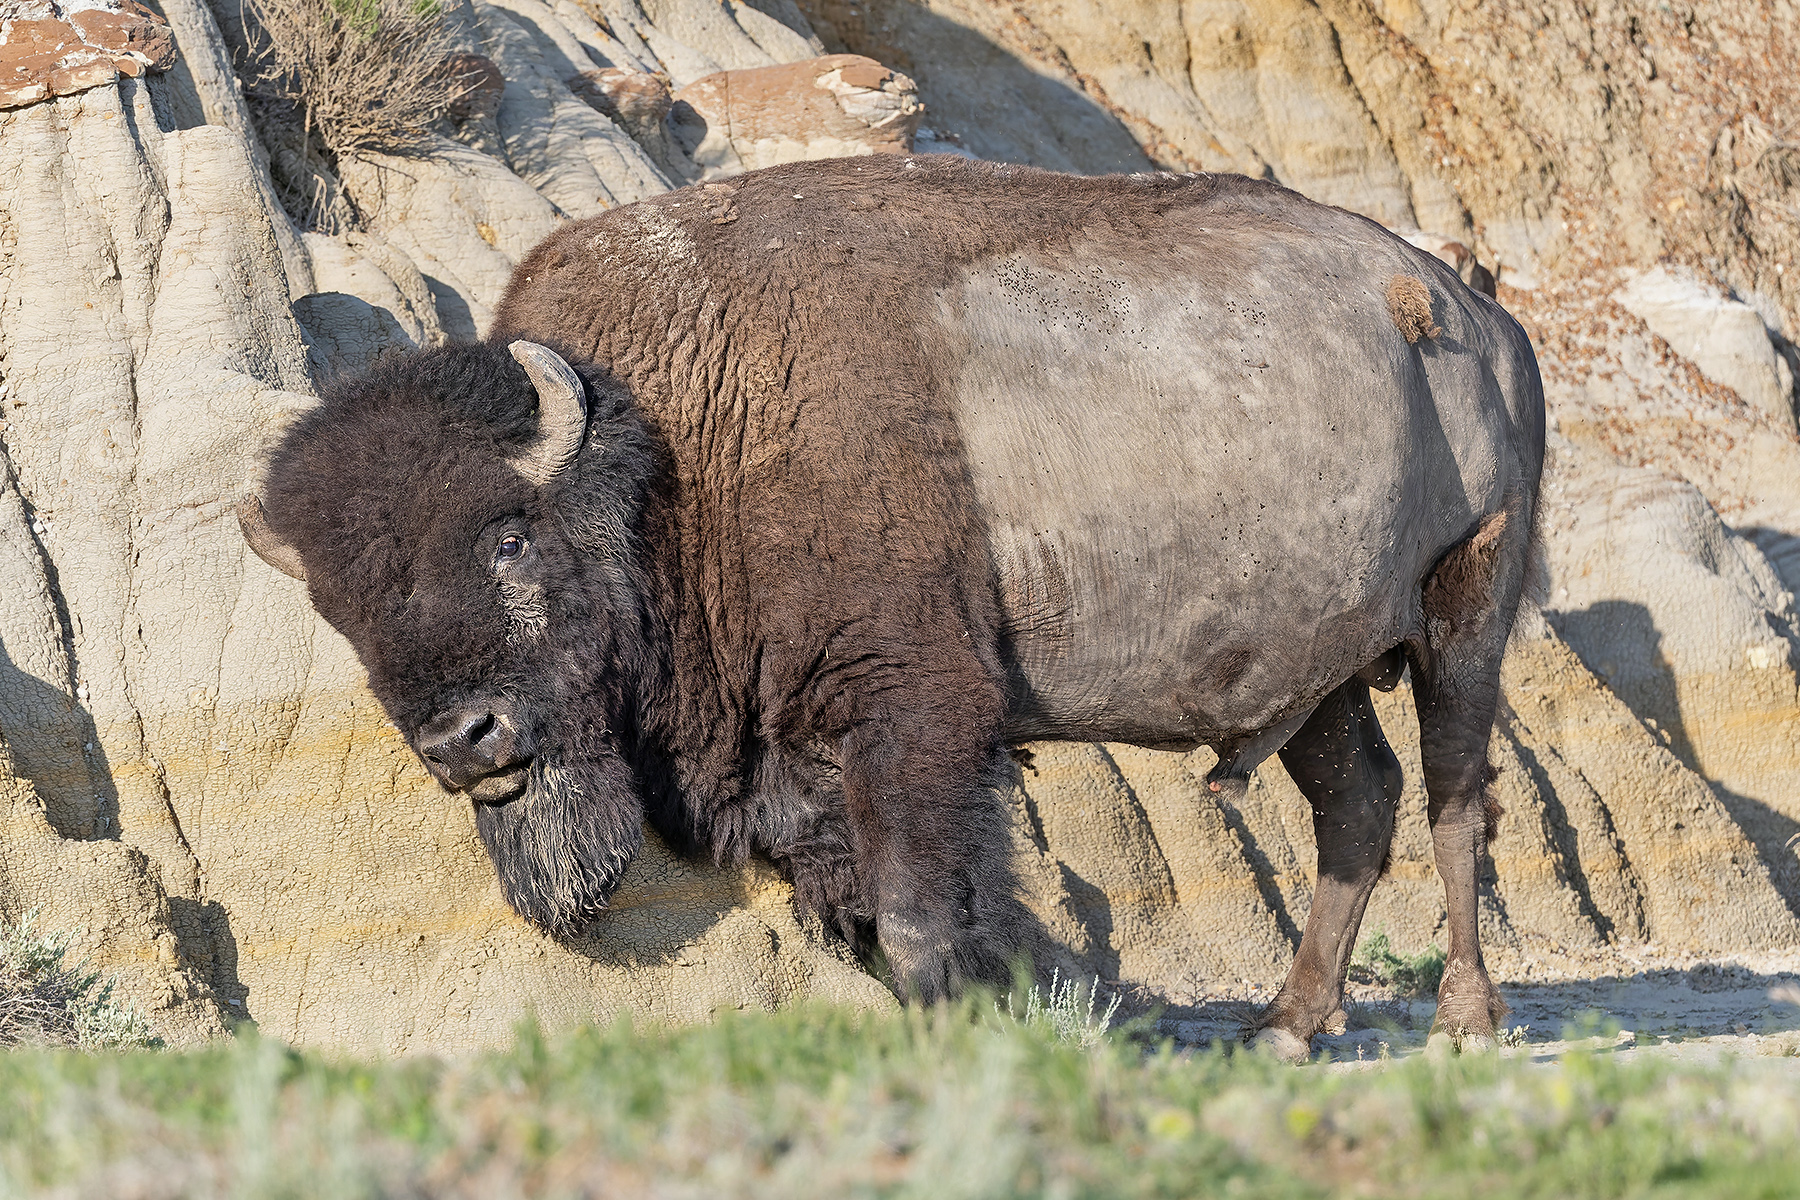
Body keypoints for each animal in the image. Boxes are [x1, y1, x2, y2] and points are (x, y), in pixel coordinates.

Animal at [241, 156, 1544, 1058]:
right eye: (343, 613)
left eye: (510, 535)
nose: (465, 742)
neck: (676, 449)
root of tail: (1474, 312)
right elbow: (877, 918)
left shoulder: (913, 718)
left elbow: (921, 916)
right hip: (1320, 682)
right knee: (1358, 807)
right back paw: (1286, 1026)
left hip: (1466, 612)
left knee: (1455, 803)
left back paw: (1465, 1022)